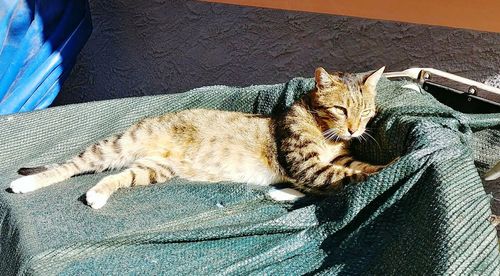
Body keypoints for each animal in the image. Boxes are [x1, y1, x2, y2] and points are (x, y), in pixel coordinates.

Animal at [9, 67, 388, 209]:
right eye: (340, 108)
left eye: (366, 111)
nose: (355, 129)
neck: (328, 135)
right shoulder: (305, 165)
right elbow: (345, 175)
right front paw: (392, 167)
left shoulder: (337, 157)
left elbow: (356, 166)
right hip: (119, 145)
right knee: (71, 165)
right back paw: (26, 184)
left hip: (154, 169)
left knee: (116, 177)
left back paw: (97, 194)